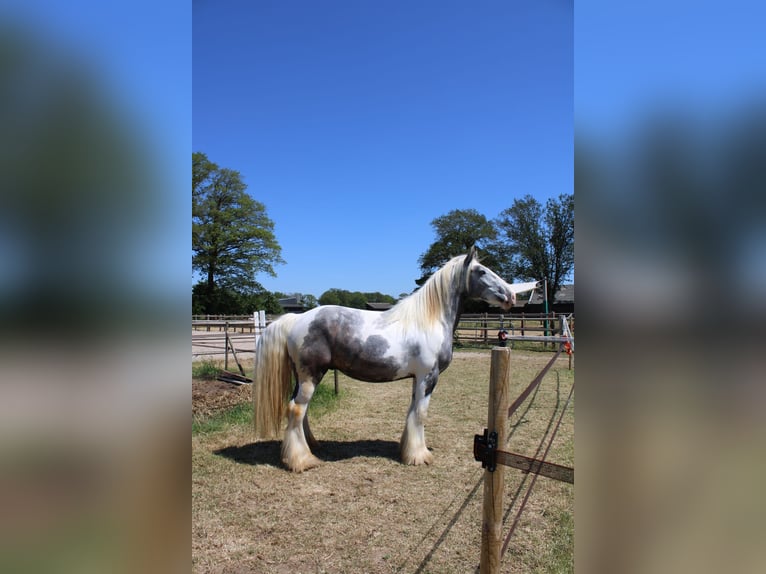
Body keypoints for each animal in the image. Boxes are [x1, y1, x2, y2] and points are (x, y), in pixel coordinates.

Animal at [255, 248, 524, 472]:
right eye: (482, 271)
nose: (511, 296)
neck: (428, 320)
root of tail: (295, 319)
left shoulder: (417, 379)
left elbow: (412, 412)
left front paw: (408, 450)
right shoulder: (428, 377)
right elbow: (421, 414)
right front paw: (419, 456)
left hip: (303, 377)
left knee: (301, 411)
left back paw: (311, 447)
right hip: (311, 375)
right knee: (296, 409)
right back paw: (301, 460)